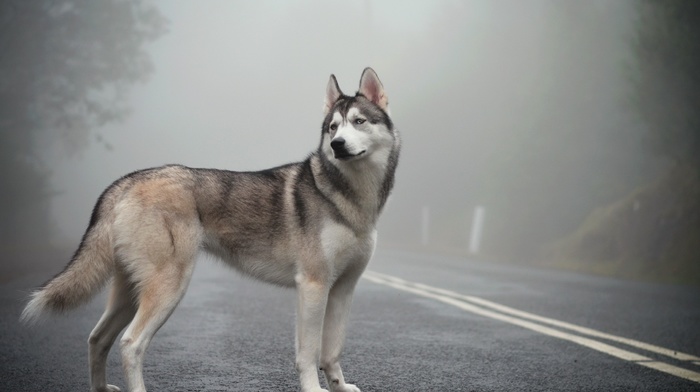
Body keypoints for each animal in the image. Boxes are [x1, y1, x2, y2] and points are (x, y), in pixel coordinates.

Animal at [20, 68, 400, 392]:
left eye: (358, 122)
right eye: (333, 128)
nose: (337, 146)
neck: (349, 197)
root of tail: (128, 181)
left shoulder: (343, 289)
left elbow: (332, 351)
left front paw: (339, 386)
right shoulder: (312, 285)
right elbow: (308, 354)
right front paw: (313, 389)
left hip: (129, 295)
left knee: (97, 338)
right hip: (168, 289)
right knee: (130, 344)